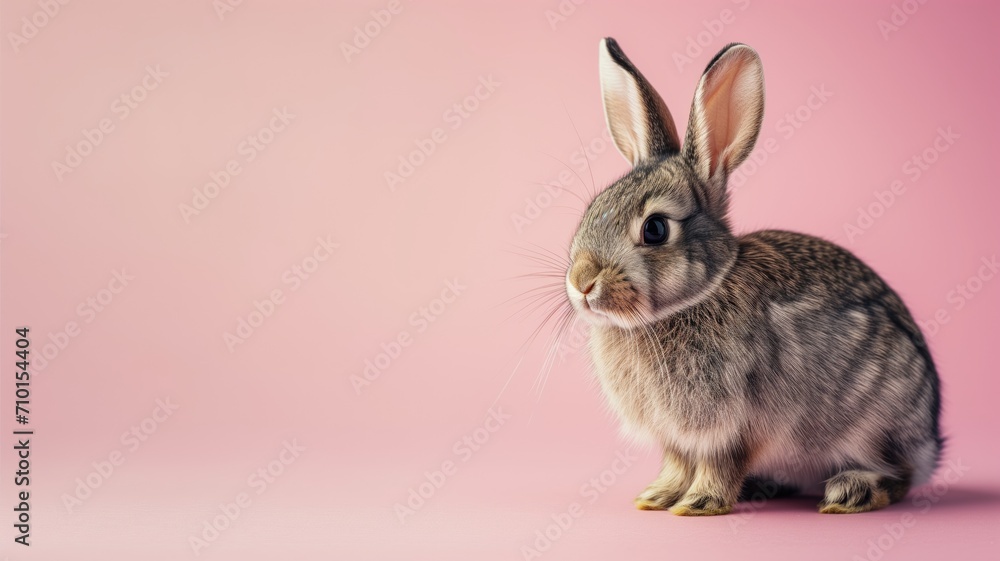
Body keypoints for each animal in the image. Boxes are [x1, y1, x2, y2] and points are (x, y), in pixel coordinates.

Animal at [563, 38, 942, 515]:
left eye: (655, 229)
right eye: (592, 208)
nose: (581, 282)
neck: (696, 297)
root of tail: (931, 441)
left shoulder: (737, 425)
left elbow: (720, 464)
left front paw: (699, 503)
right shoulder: (676, 437)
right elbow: (676, 463)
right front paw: (655, 497)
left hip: (879, 422)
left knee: (902, 476)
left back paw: (853, 491)